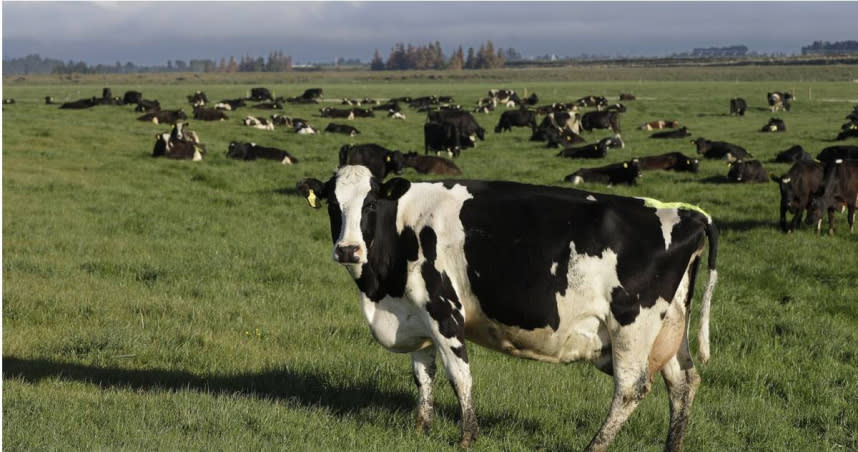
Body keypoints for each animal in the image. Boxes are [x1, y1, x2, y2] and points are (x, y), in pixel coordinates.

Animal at [294, 164, 716, 450]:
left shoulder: (444, 309)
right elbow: (423, 374)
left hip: (632, 325)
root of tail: (687, 213)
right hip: (669, 327)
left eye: (370, 204)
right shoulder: (416, 313)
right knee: (683, 383)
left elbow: (459, 375)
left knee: (631, 388)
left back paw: (595, 446)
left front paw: (467, 437)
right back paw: (672, 447)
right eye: (332, 204)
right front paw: (421, 428)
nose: (348, 250)